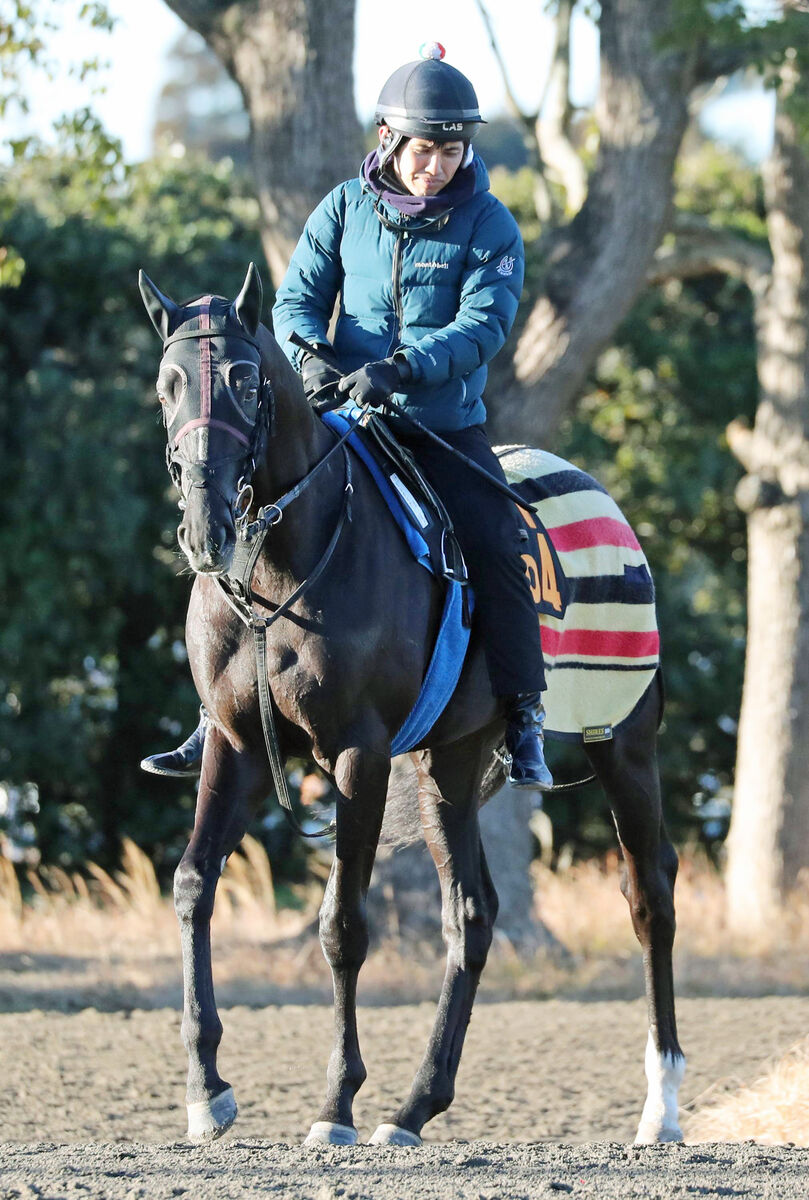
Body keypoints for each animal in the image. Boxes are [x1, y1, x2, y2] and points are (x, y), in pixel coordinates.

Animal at [136, 265, 681, 1152]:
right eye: (168, 384)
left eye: (246, 381)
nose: (206, 523)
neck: (282, 565)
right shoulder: (236, 744)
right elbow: (191, 885)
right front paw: (205, 1089)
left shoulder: (356, 754)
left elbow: (342, 925)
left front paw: (335, 1103)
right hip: (447, 767)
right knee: (472, 915)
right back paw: (415, 1105)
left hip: (621, 742)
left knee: (650, 898)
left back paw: (661, 1105)